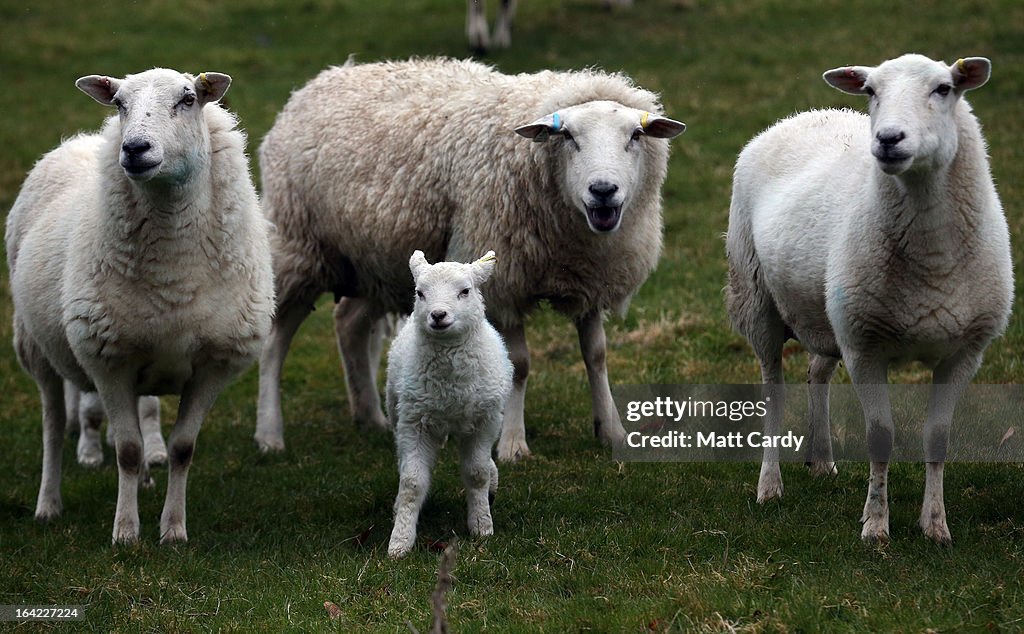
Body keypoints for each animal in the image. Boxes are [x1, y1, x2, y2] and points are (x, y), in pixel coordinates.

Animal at [4, 69, 276, 544]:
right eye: (119, 104)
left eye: (188, 99)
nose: (133, 148)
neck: (174, 279)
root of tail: (76, 142)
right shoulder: (109, 360)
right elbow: (127, 450)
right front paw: (126, 533)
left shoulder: (212, 364)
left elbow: (183, 448)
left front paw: (173, 530)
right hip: (36, 348)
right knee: (53, 427)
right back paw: (48, 505)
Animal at [253, 58, 688, 460]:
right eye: (566, 136)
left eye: (635, 135)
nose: (603, 190)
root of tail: (318, 81)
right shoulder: (503, 282)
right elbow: (519, 364)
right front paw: (512, 444)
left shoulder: (592, 279)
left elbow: (596, 356)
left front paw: (612, 431)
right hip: (298, 247)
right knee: (274, 341)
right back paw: (269, 434)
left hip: (371, 261)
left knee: (349, 325)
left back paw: (371, 417)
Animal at [385, 250, 512, 557]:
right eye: (420, 293)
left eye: (465, 291)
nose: (438, 315)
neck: (451, 388)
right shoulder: (414, 422)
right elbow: (411, 482)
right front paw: (400, 542)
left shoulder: (484, 421)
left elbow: (477, 473)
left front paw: (481, 526)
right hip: (397, 412)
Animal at [729, 51, 1015, 544]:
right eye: (870, 91)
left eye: (944, 88)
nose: (887, 139)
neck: (933, 261)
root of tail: (801, 115)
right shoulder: (865, 349)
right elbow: (880, 437)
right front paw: (876, 526)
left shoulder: (963, 353)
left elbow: (938, 438)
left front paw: (935, 526)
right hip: (756, 297)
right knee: (773, 391)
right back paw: (770, 485)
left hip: (827, 312)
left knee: (816, 373)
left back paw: (821, 461)